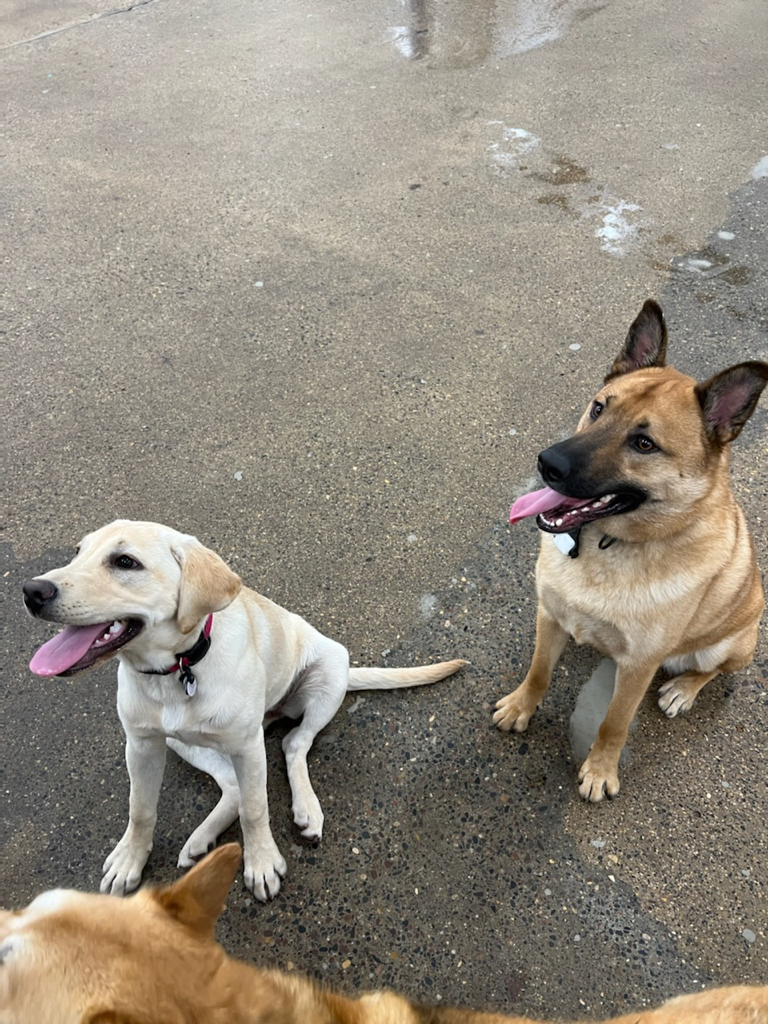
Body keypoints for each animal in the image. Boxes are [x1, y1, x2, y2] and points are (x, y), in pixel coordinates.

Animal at [24, 524, 466, 901]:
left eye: (125, 562)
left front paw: (261, 863)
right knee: (232, 786)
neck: (178, 670)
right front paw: (131, 859)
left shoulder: (248, 748)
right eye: (77, 552)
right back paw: (201, 840)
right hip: (184, 743)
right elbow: (141, 809)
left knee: (294, 743)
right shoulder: (142, 744)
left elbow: (256, 809)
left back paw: (306, 807)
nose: (32, 590)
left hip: (330, 671)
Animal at [495, 299, 765, 802]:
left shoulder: (639, 666)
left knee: (711, 670)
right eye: (598, 408)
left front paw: (601, 769)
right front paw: (522, 706)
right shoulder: (550, 614)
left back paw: (683, 689)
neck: (608, 545)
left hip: (731, 645)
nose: (547, 464)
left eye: (644, 443)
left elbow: (614, 723)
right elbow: (539, 671)